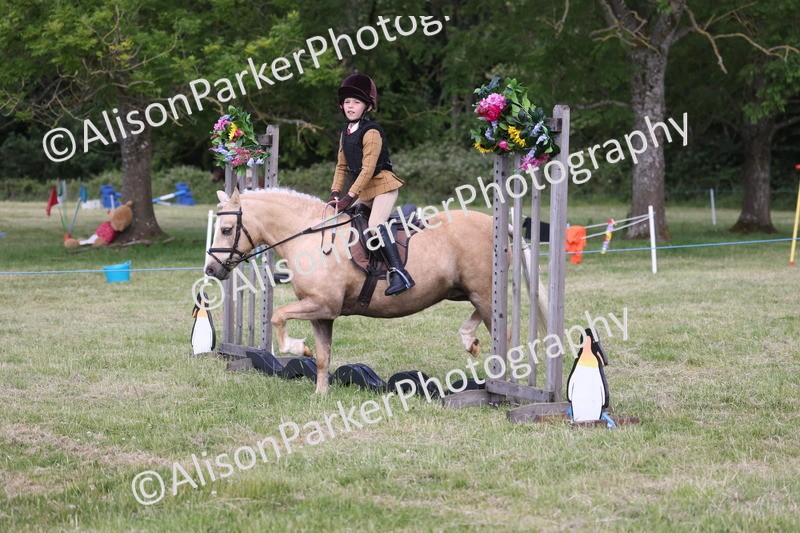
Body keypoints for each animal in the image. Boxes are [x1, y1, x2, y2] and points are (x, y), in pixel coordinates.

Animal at [204, 187, 547, 394]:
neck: (309, 237)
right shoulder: (320, 313)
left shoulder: (323, 304)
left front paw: (297, 348)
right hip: (464, 290)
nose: (211, 270)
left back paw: (496, 379)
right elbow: (323, 357)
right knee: (480, 317)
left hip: (485, 291)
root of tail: (498, 225)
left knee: (502, 332)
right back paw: (469, 341)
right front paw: (320, 393)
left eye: (226, 229)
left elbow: (277, 317)